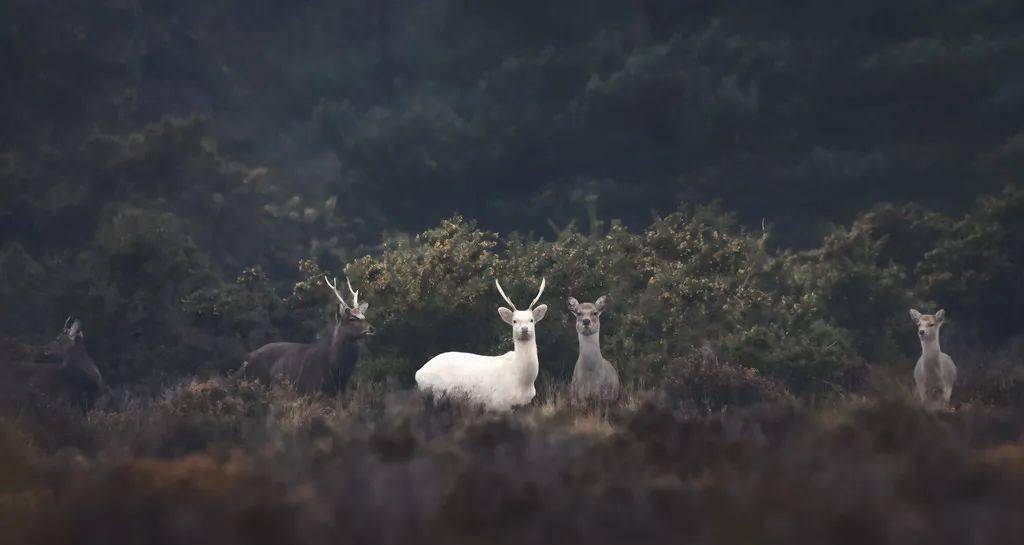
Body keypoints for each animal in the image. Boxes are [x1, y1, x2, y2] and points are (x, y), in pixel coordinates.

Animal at [239, 274, 376, 393]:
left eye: (364, 316)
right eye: (352, 318)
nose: (371, 328)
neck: (335, 369)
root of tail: (246, 359)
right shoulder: (311, 388)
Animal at [413, 278, 548, 411]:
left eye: (531, 320)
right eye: (514, 321)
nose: (524, 329)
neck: (523, 381)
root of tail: (418, 374)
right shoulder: (497, 404)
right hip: (436, 394)